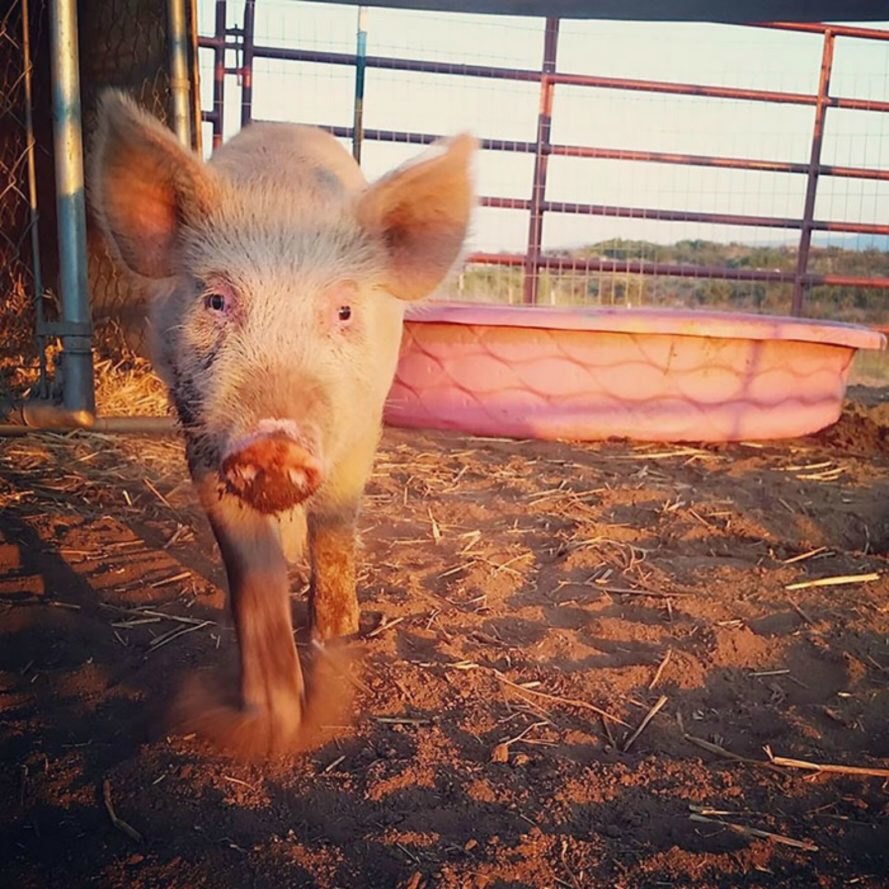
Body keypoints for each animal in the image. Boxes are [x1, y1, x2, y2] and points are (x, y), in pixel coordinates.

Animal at [90, 92, 476, 756]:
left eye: (343, 311)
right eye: (216, 301)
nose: (274, 443)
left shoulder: (361, 427)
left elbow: (336, 531)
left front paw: (337, 646)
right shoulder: (199, 431)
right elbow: (251, 563)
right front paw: (272, 720)